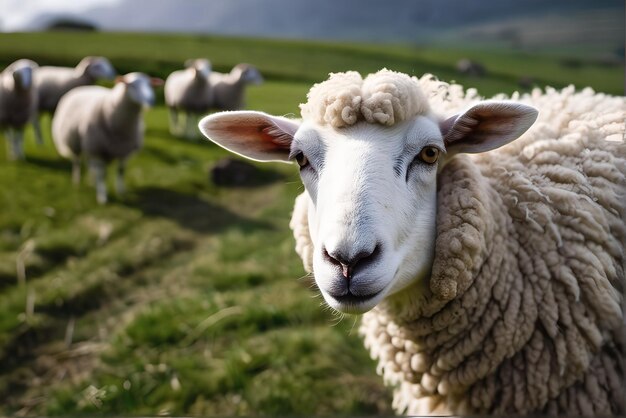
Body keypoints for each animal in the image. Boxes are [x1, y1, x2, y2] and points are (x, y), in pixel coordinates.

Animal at [51, 72, 161, 205]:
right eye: (132, 85)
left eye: (150, 85)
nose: (151, 100)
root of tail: (84, 87)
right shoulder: (97, 150)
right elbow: (102, 175)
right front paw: (102, 197)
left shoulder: (123, 150)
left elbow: (121, 171)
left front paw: (121, 191)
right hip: (75, 142)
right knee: (77, 161)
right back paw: (76, 180)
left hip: (88, 145)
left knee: (90, 164)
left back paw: (92, 180)